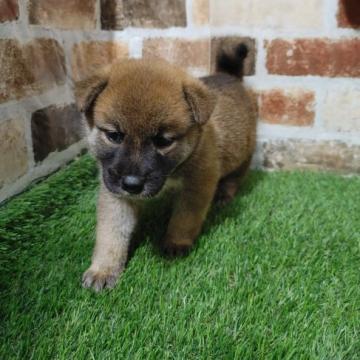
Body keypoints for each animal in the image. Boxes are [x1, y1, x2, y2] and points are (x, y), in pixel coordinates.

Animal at [75, 44, 256, 292]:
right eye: (114, 136)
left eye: (163, 141)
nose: (132, 185)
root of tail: (230, 76)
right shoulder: (114, 193)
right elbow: (111, 232)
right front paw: (104, 268)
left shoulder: (198, 185)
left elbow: (185, 218)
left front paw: (176, 243)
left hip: (243, 155)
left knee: (234, 177)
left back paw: (224, 195)